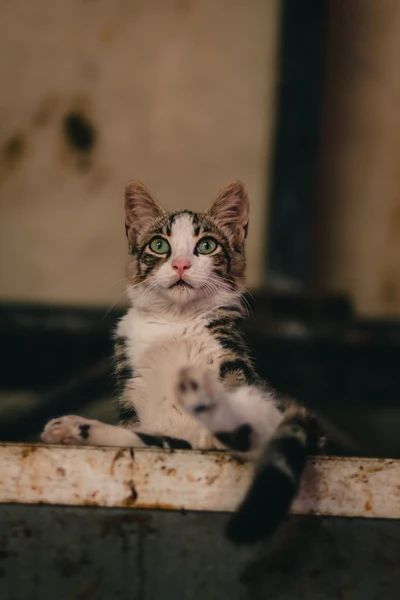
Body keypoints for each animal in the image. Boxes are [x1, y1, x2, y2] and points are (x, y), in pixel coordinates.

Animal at [41, 179, 318, 544]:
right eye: (159, 245)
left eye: (206, 245)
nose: (181, 265)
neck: (176, 321)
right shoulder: (136, 397)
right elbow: (143, 437)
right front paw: (76, 429)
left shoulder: (238, 368)